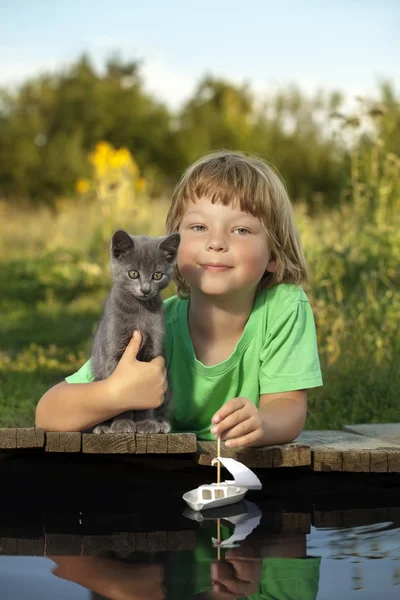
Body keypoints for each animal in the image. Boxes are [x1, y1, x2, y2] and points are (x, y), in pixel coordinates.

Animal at [91, 227, 180, 434]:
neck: (139, 311)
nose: (145, 290)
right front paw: (123, 423)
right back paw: (103, 426)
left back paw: (160, 422)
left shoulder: (153, 352)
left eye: (157, 275)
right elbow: (123, 393)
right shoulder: (114, 351)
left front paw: (145, 423)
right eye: (133, 274)